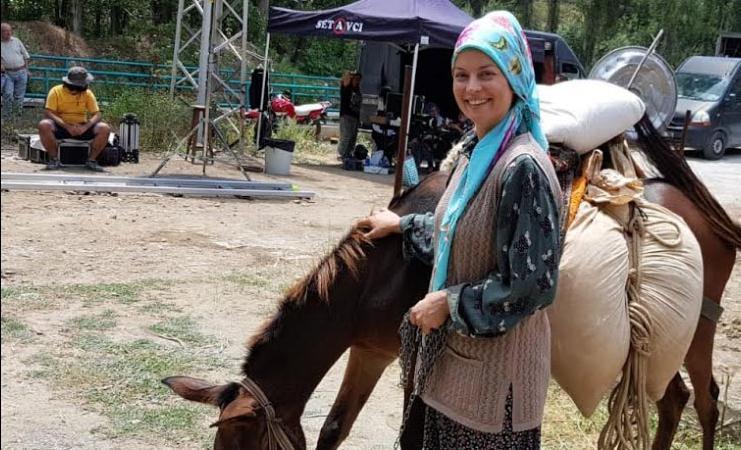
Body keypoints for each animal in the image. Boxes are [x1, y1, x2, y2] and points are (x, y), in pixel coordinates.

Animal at [163, 116, 740, 450]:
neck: (379, 271)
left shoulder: (412, 358)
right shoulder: (370, 350)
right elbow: (334, 429)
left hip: (694, 333)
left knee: (706, 401)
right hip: (657, 348)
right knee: (674, 401)